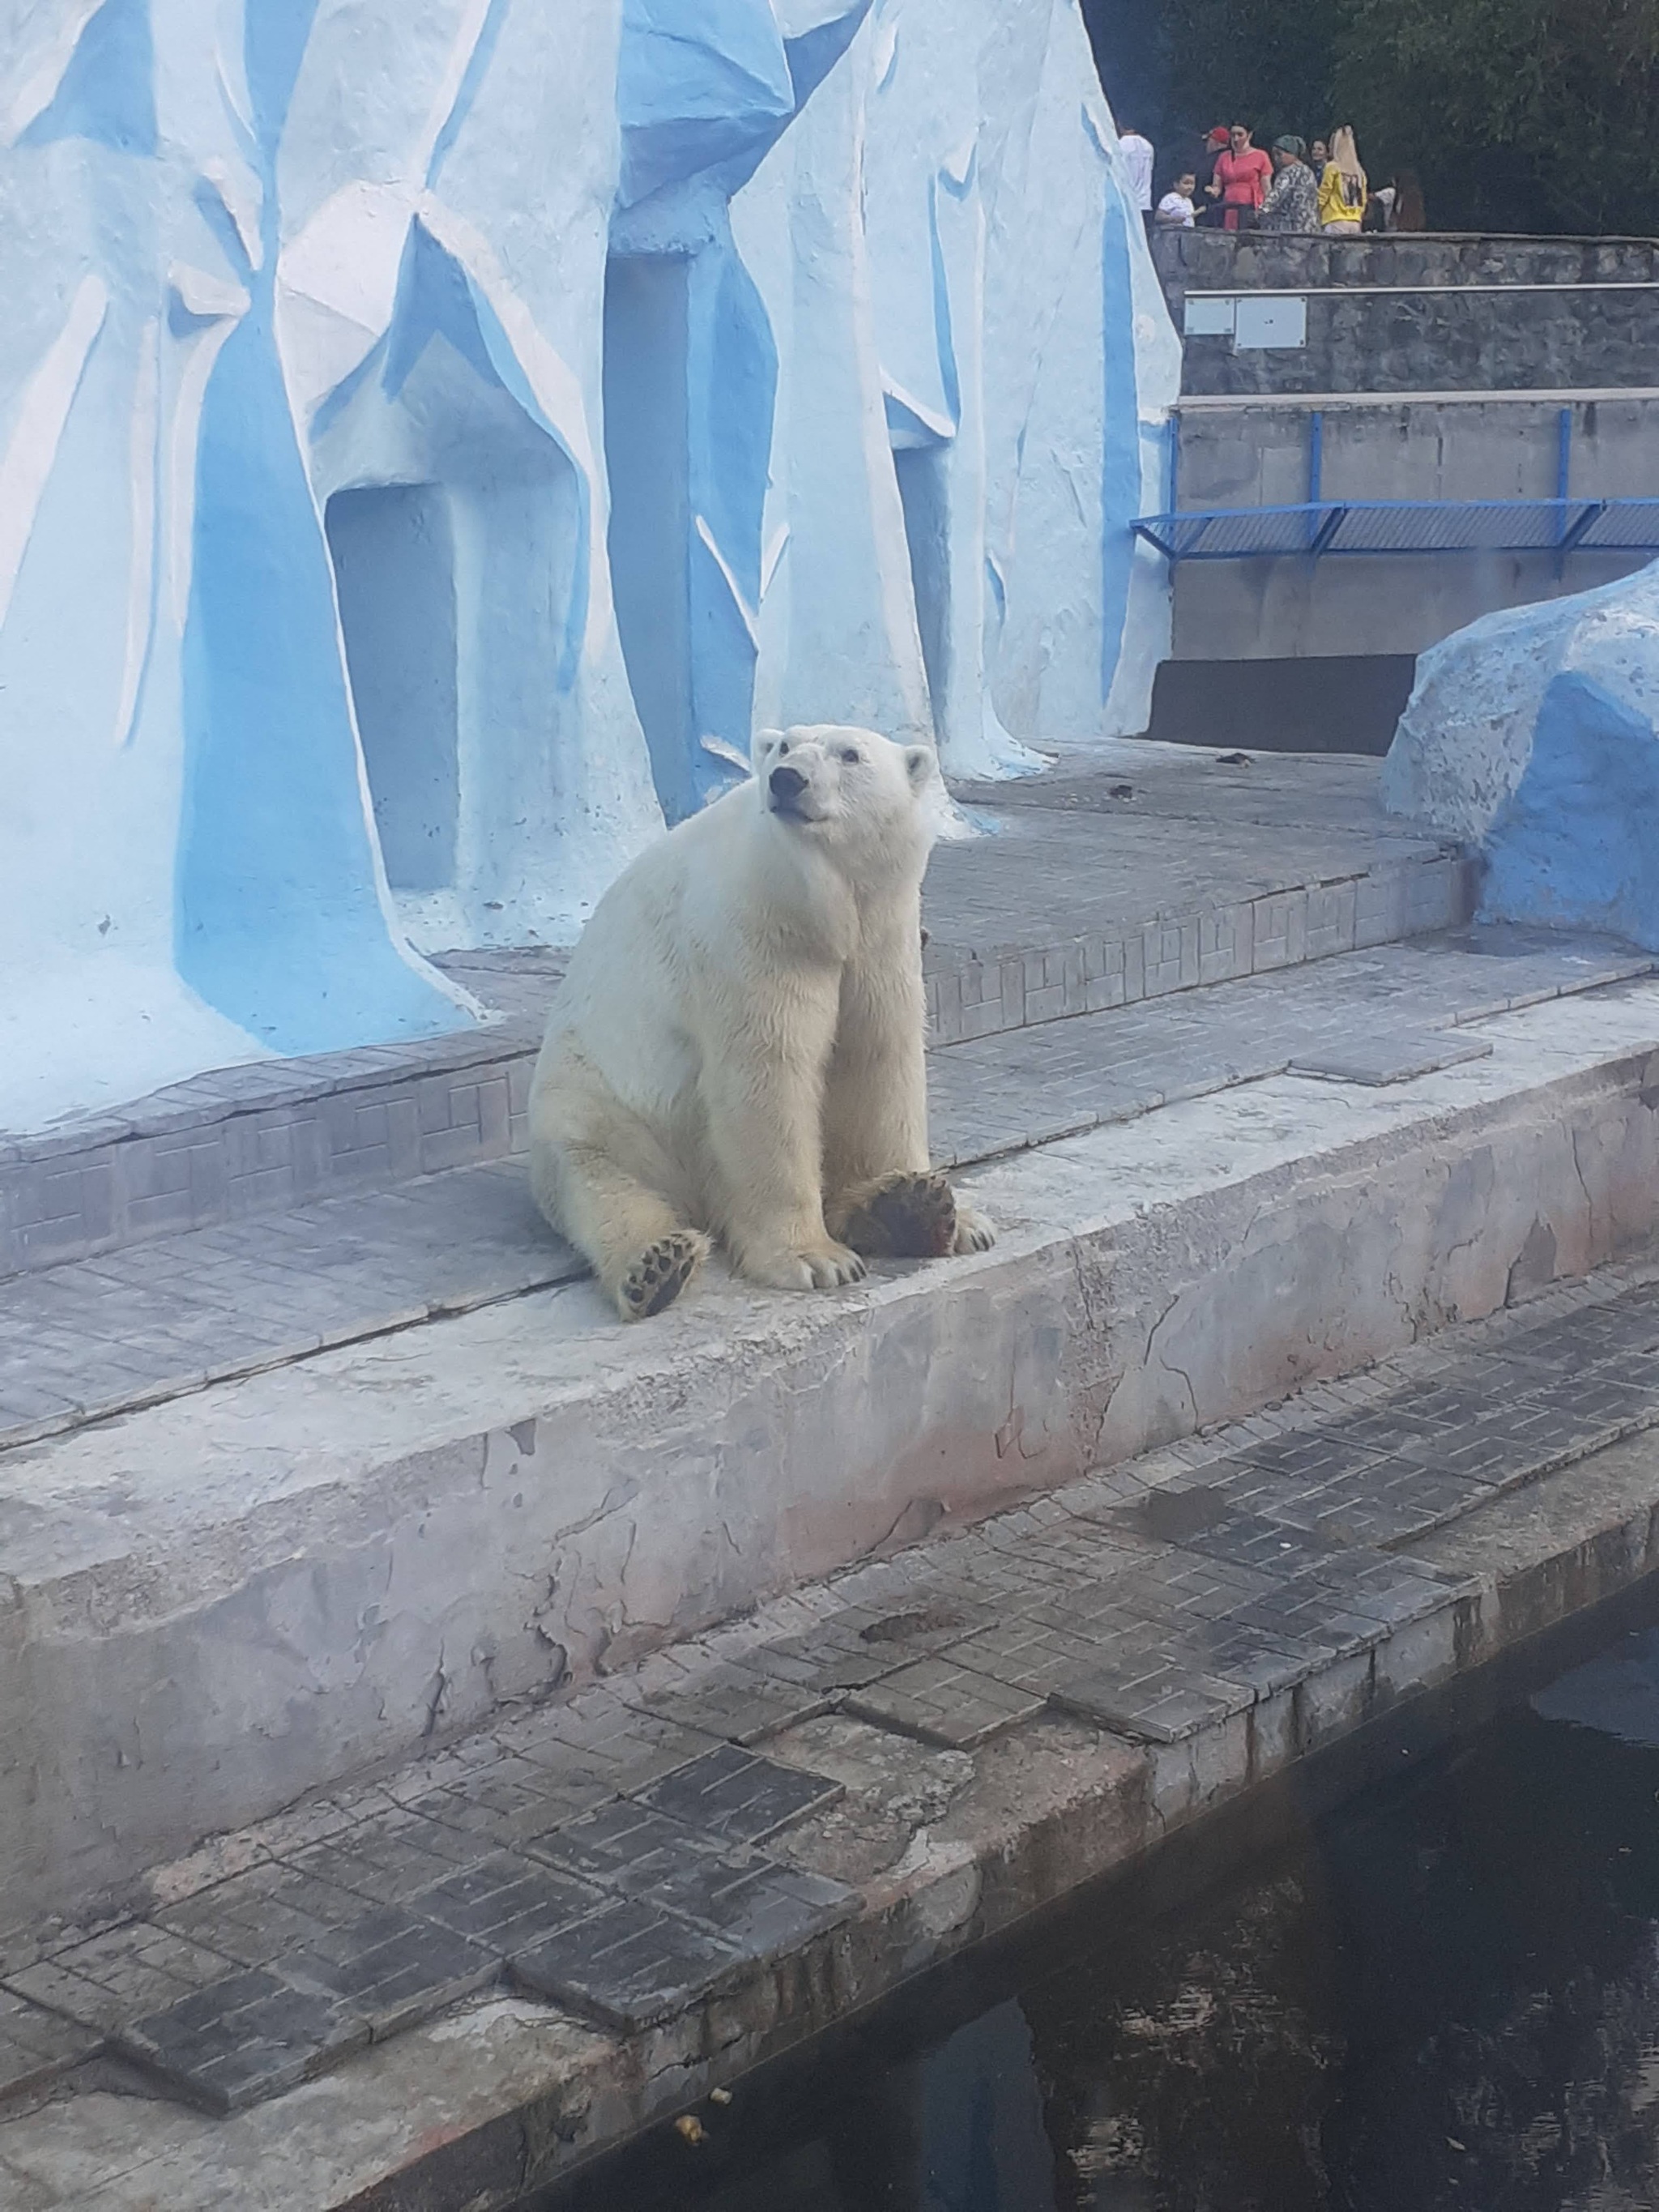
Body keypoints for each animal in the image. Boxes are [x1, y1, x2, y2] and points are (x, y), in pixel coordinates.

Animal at [533, 721, 995, 1309]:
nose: (787, 780)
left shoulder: (884, 934)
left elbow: (878, 1058)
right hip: (599, 1111)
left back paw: (904, 1212)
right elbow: (769, 1075)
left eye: (850, 754)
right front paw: (816, 1259)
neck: (819, 904)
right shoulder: (754, 935)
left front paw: (939, 1210)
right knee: (604, 1187)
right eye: (784, 746)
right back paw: (657, 1265)